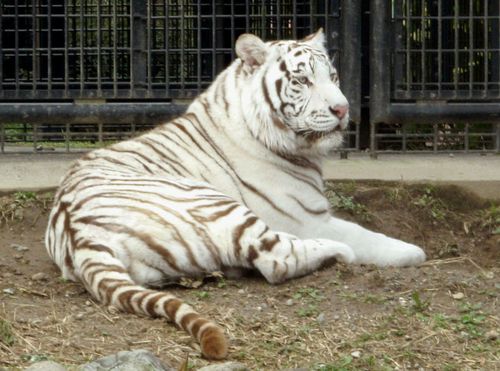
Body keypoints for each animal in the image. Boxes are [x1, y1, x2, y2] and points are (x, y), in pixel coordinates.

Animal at [45, 30, 424, 362]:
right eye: (302, 81)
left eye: (332, 76)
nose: (343, 110)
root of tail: (79, 235)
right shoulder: (307, 219)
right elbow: (365, 236)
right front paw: (412, 251)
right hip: (217, 204)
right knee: (277, 259)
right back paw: (335, 252)